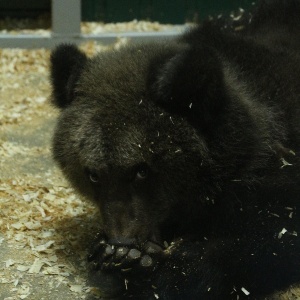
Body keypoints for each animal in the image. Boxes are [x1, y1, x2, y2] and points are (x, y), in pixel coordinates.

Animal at [50, 1, 298, 298]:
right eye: (93, 174)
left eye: (142, 170)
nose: (123, 240)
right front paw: (119, 256)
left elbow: (265, 236)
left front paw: (161, 274)